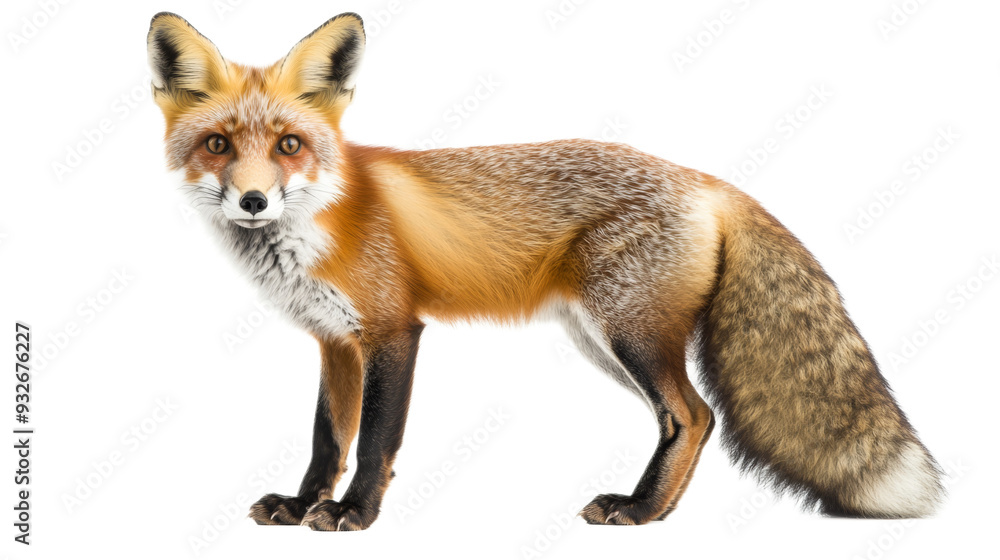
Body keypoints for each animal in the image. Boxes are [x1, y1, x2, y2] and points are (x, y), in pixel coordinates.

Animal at [147, 12, 944, 530]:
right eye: (218, 144)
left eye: (288, 144)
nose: (253, 200)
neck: (322, 218)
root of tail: (707, 181)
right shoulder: (335, 341)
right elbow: (326, 440)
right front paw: (303, 502)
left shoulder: (393, 331)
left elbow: (373, 442)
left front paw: (354, 513)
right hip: (600, 339)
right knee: (688, 418)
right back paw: (656, 509)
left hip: (627, 332)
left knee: (694, 414)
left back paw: (642, 511)